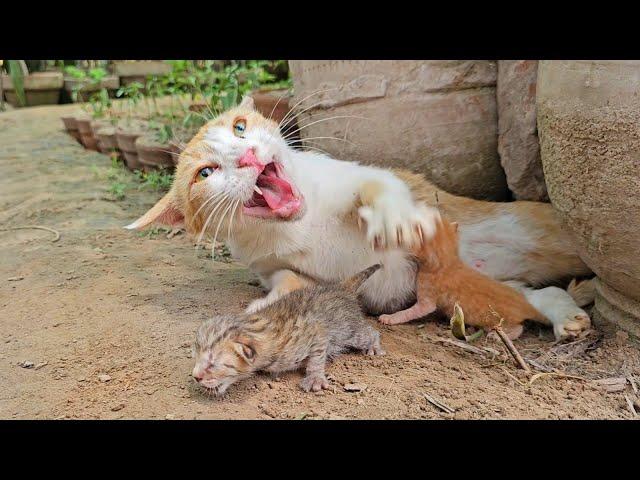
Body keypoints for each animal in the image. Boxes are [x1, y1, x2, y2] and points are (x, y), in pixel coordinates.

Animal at [191, 264, 384, 396]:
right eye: (196, 357)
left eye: (213, 364)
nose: (195, 377)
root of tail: (341, 288)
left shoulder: (316, 330)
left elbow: (317, 356)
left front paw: (315, 377)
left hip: (349, 331)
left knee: (370, 332)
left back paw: (373, 346)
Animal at [380, 214, 560, 342]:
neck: (449, 260)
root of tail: (526, 305)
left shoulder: (427, 298)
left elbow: (414, 311)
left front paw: (390, 318)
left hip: (502, 322)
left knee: (519, 328)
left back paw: (499, 336)